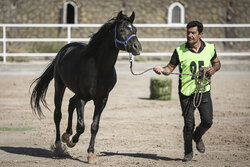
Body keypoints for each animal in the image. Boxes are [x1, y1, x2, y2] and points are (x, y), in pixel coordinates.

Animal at [29, 11, 141, 162]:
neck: (99, 69)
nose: (137, 47)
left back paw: (66, 135)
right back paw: (59, 145)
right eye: (122, 30)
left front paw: (90, 153)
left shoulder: (102, 100)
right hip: (60, 86)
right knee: (58, 114)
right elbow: (81, 126)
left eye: (135, 30)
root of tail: (64, 50)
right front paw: (71, 142)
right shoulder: (82, 98)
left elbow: (94, 126)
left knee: (71, 103)